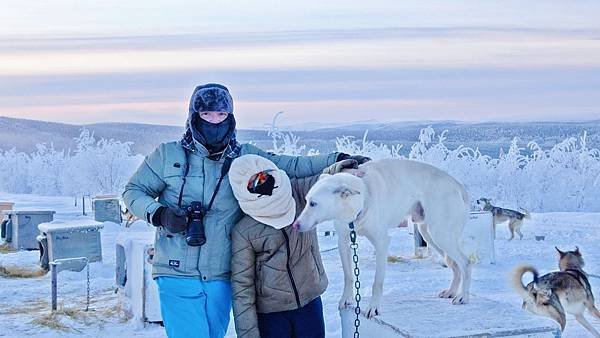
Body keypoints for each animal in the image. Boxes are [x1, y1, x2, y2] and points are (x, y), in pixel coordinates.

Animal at [292, 158, 472, 316]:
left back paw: (463, 296)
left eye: (313, 203)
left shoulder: (381, 243)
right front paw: (346, 299)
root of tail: (456, 184)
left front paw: (373, 307)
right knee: (455, 265)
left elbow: (377, 282)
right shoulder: (343, 242)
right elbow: (348, 276)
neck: (363, 198)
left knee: (465, 263)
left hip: (440, 234)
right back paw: (451, 291)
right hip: (429, 234)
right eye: (306, 201)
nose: (295, 225)